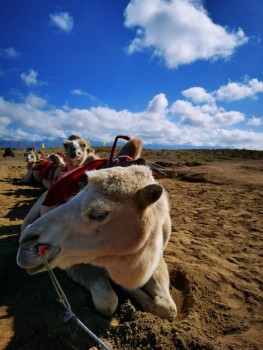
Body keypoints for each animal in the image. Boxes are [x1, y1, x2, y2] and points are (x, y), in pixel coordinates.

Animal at [17, 162, 177, 320]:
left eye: (99, 214)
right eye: (75, 195)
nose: (28, 241)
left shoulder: (157, 254)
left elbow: (168, 308)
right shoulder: (78, 260)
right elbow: (108, 302)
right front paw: (124, 289)